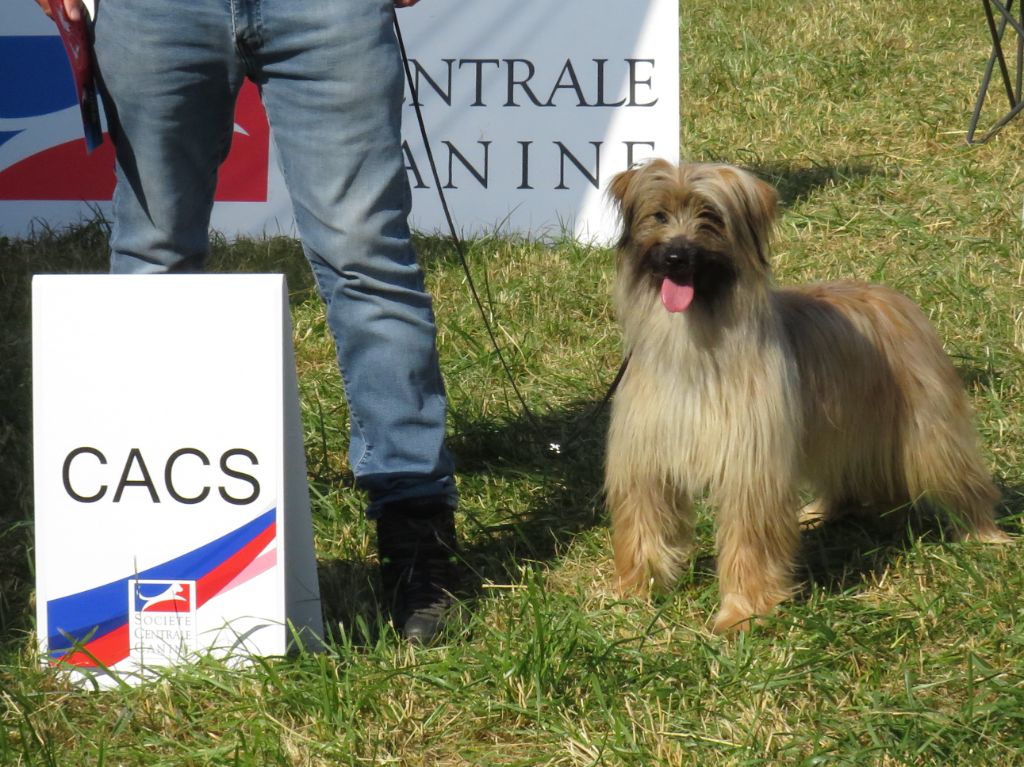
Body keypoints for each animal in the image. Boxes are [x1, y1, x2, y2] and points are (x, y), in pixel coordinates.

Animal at [602, 158, 1003, 630]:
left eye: (710, 218)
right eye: (659, 215)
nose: (675, 257)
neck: (694, 341)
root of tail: (892, 296)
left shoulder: (751, 468)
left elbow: (749, 541)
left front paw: (742, 612)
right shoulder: (647, 461)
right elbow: (643, 524)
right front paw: (634, 590)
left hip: (929, 430)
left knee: (962, 479)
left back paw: (986, 534)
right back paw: (823, 511)